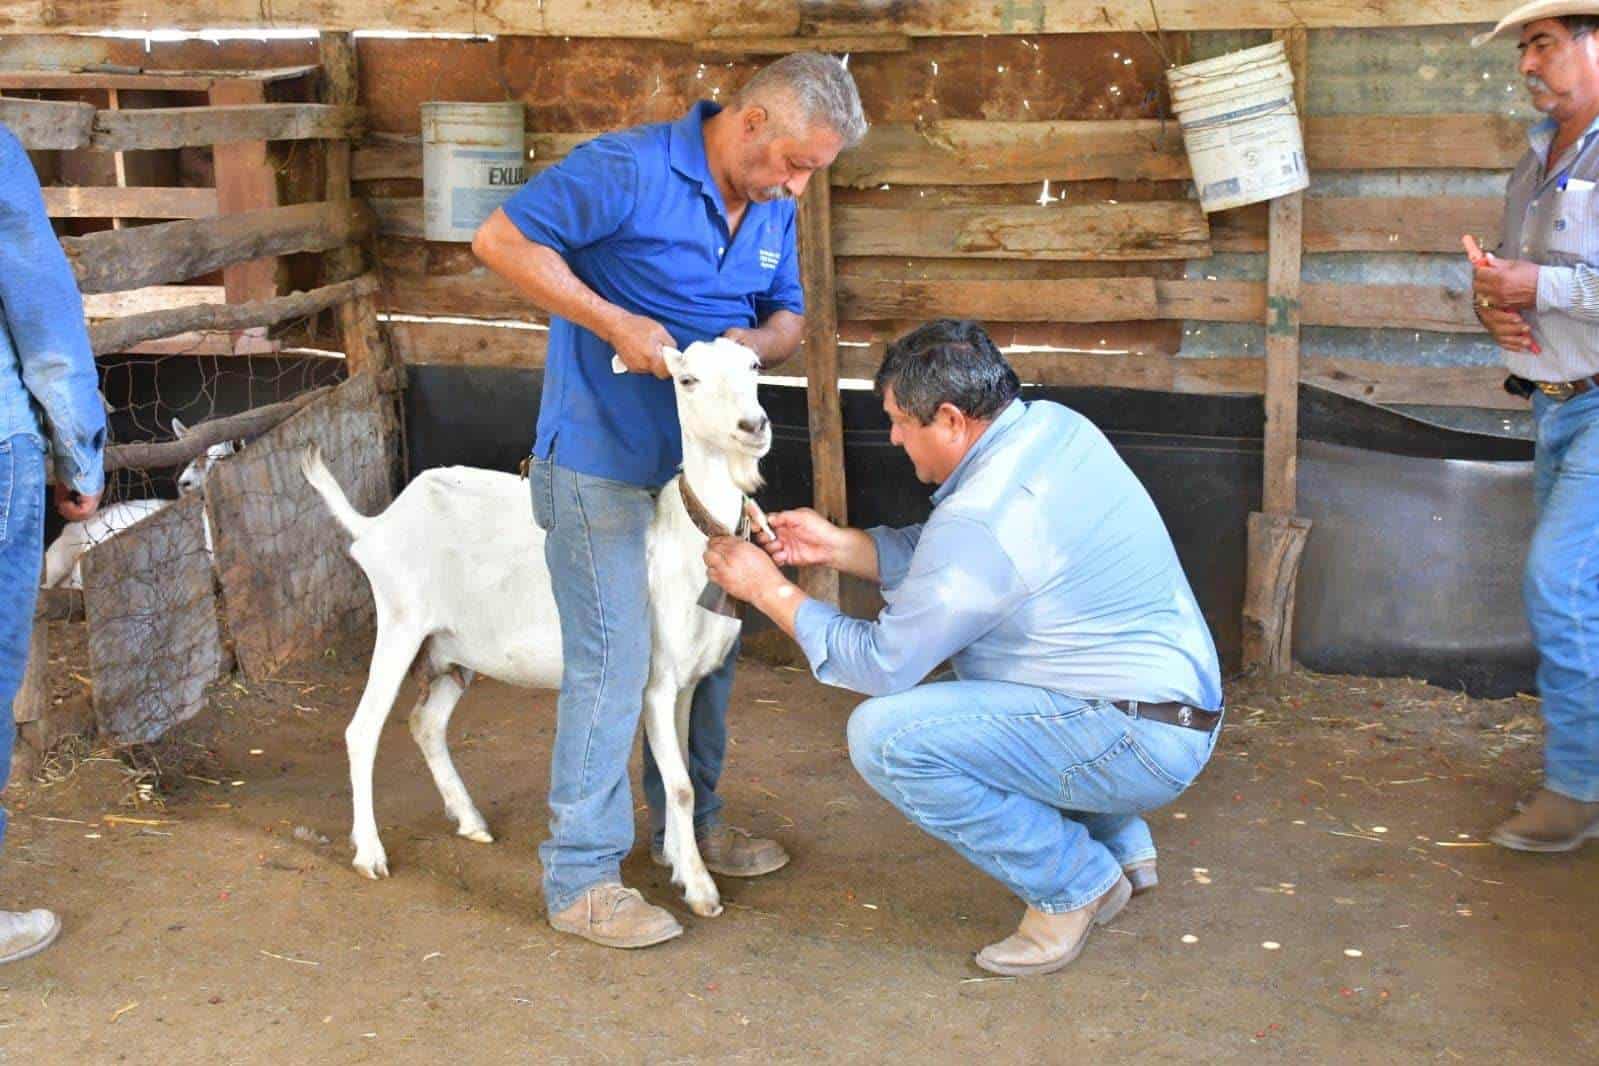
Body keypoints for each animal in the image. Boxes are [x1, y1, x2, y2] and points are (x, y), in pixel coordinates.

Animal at [303, 340, 773, 920]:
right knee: (363, 729)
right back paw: (369, 853)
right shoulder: (656, 683)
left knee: (425, 723)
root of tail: (374, 526)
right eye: (687, 380)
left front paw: (681, 864)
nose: (753, 425)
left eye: (755, 366)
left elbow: (678, 776)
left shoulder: (687, 683)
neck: (680, 539)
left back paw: (471, 821)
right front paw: (702, 890)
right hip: (398, 625)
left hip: (452, 649)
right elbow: (682, 786)